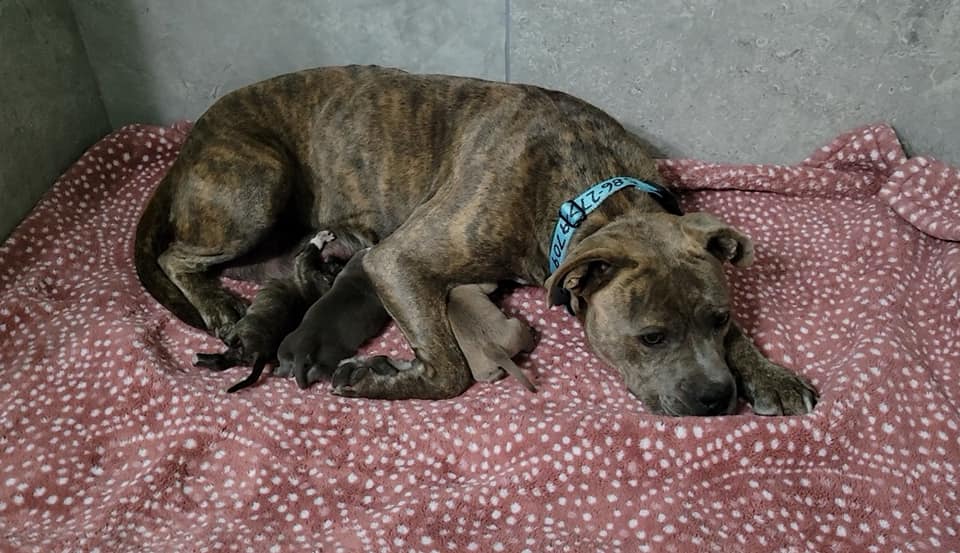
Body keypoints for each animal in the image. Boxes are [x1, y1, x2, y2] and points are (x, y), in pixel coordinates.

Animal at [133, 63, 816, 414]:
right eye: (651, 337)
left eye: (719, 320)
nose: (717, 398)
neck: (588, 192)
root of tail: (189, 144)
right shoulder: (397, 260)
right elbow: (449, 371)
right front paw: (380, 378)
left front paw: (770, 373)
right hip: (258, 184)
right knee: (176, 255)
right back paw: (218, 304)